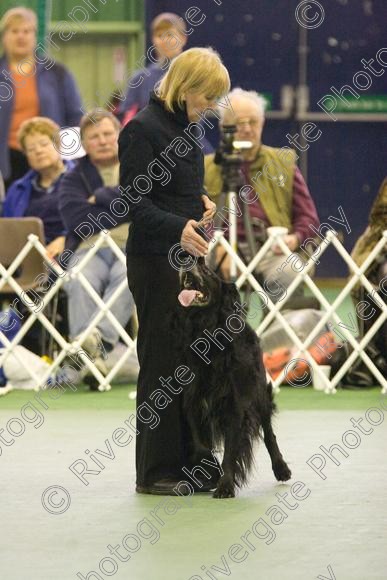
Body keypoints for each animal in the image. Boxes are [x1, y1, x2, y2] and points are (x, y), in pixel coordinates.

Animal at [174, 260, 292, 498]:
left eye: (208, 271)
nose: (186, 259)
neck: (205, 332)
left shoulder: (235, 404)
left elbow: (230, 449)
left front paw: (225, 484)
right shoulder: (192, 400)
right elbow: (200, 444)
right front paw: (208, 470)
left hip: (259, 391)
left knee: (268, 432)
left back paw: (281, 468)